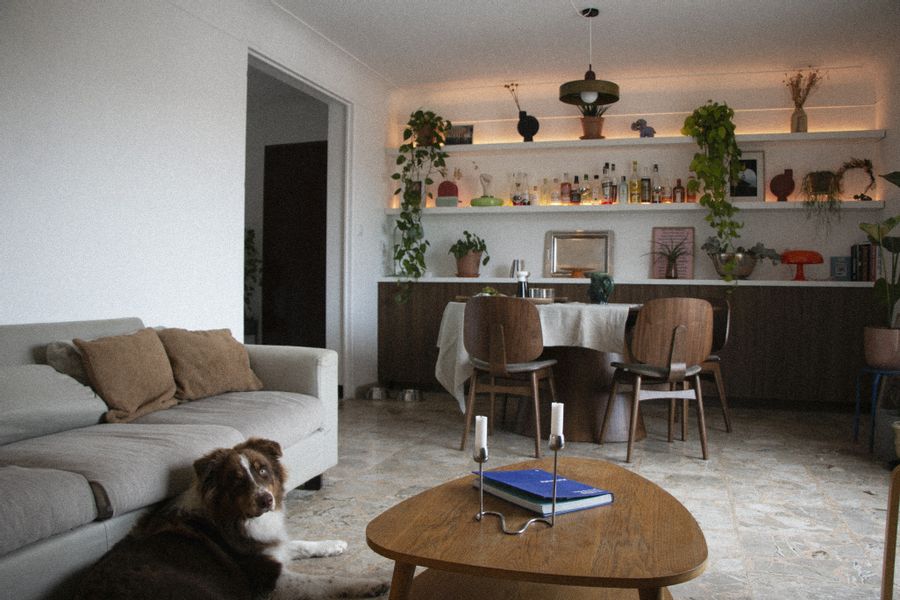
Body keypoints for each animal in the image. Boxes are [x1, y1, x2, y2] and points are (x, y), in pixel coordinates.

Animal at [74, 438, 389, 600]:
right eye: (236, 481)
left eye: (263, 470)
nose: (266, 500)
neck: (232, 516)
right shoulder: (264, 577)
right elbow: (326, 580)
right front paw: (368, 584)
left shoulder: (267, 545)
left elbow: (298, 543)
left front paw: (333, 544)